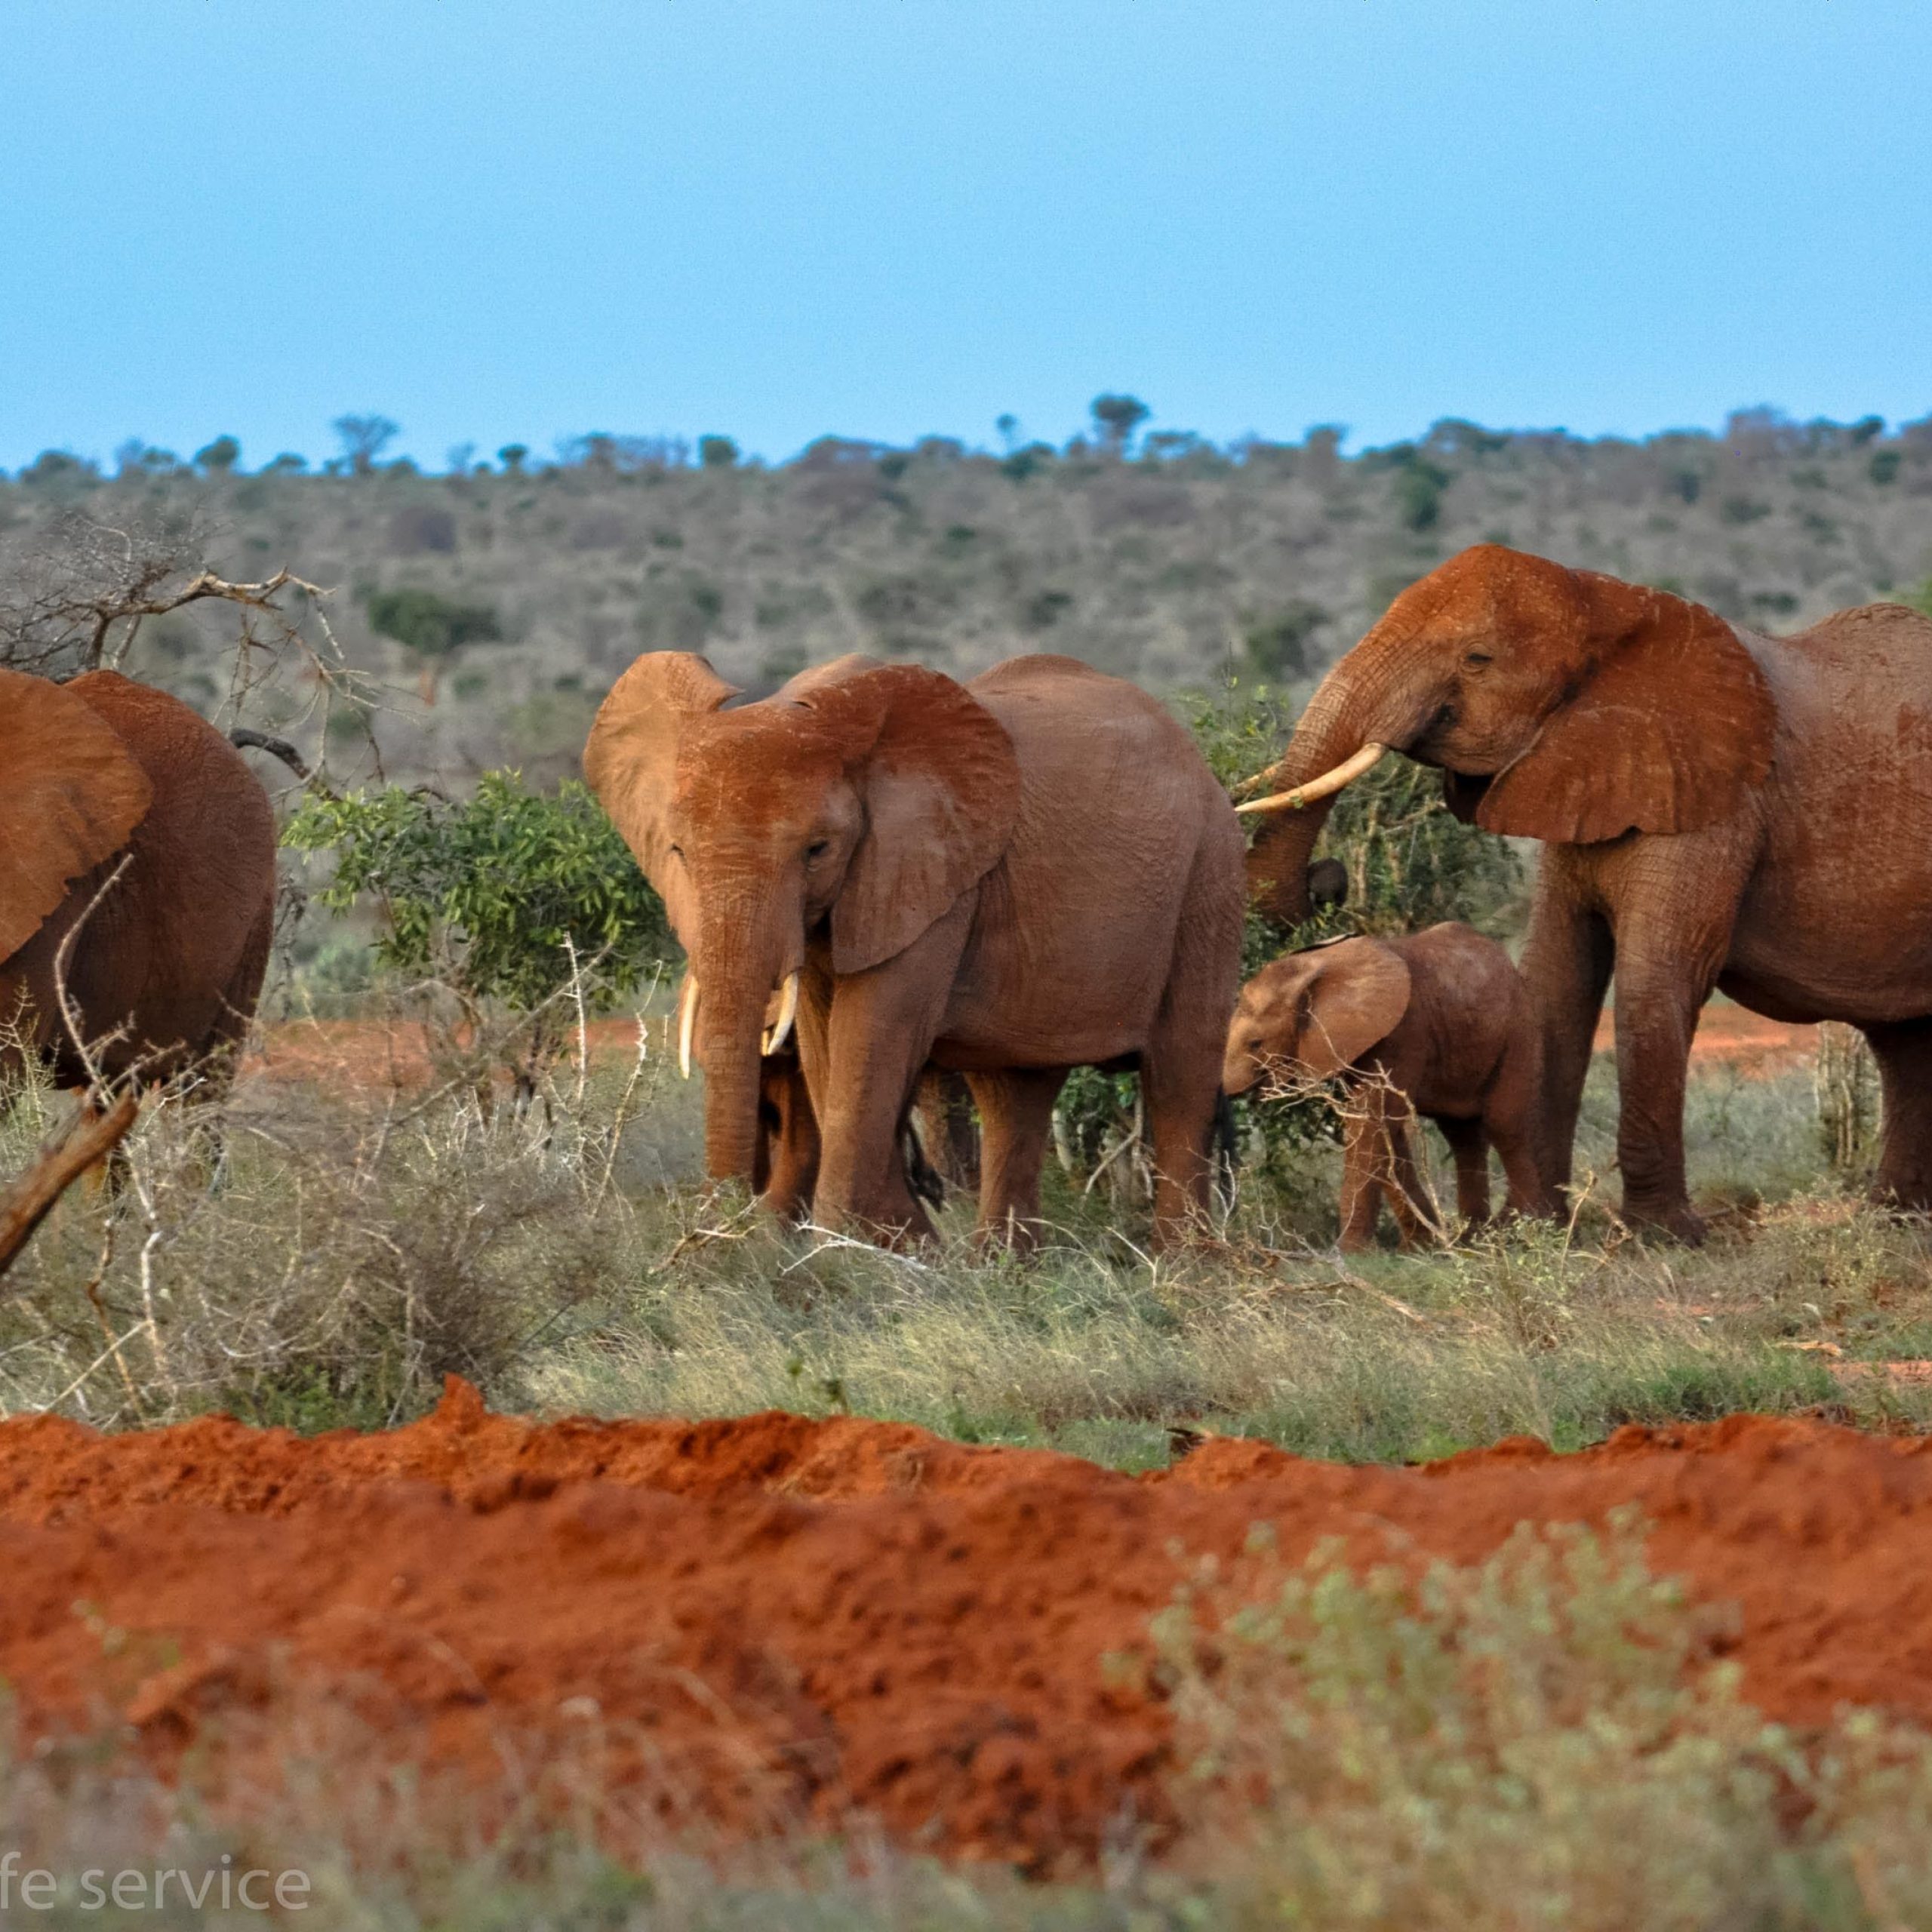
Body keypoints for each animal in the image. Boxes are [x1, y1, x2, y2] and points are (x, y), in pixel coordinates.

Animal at [583, 657, 1236, 1244]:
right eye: (677, 852)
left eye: (818, 850)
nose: (713, 1240)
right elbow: (824, 1047)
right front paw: (903, 1245)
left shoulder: (933, 875)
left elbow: (872, 1037)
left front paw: (850, 1254)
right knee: (1015, 1093)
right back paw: (1002, 1272)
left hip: (1208, 871)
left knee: (1180, 1076)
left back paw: (1182, 1272)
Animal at [1220, 923, 1553, 1251]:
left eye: (1255, 1044)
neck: (1316, 966)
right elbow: (1385, 1129)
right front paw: (1421, 1246)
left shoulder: (1402, 1032)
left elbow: (1372, 1122)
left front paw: (1349, 1253)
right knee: (1463, 1135)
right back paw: (1472, 1238)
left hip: (1520, 1032)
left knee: (1504, 1125)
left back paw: (1511, 1229)